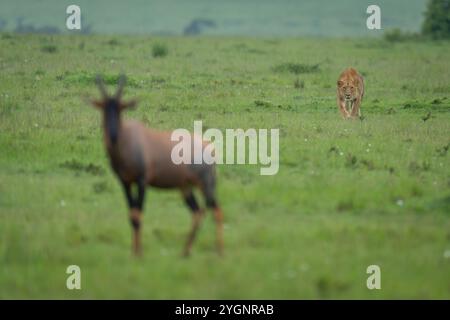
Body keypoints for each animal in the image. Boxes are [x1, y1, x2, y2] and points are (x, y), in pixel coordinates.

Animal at [90, 75, 224, 258]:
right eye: (103, 109)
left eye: (121, 108)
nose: (113, 136)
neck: (129, 139)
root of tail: (209, 147)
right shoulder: (125, 182)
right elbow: (132, 215)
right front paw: (134, 253)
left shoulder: (142, 181)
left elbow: (138, 215)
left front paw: (138, 254)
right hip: (185, 187)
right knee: (198, 212)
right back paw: (185, 252)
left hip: (205, 184)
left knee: (216, 211)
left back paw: (219, 252)